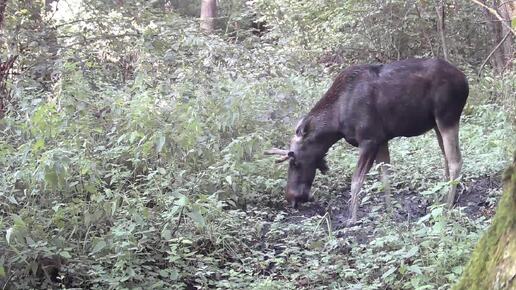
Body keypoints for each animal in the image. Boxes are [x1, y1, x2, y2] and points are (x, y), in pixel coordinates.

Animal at [268, 57, 470, 224]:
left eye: (294, 161)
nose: (291, 197)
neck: (336, 123)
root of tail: (465, 80)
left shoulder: (369, 139)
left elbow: (356, 180)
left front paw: (352, 219)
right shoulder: (382, 139)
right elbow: (385, 177)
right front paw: (390, 213)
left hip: (447, 116)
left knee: (456, 160)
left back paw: (448, 207)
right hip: (436, 123)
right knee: (446, 158)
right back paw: (442, 199)